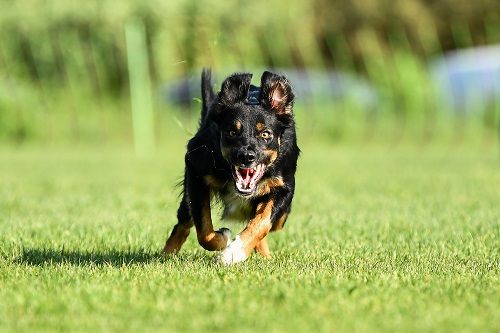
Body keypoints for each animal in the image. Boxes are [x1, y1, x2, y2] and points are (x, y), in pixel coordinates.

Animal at [162, 68, 298, 264]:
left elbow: (262, 222)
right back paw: (166, 254)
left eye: (265, 134)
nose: (247, 156)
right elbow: (203, 229)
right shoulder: (195, 170)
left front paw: (234, 253)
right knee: (184, 221)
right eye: (232, 132)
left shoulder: (284, 186)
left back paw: (265, 256)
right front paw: (224, 238)